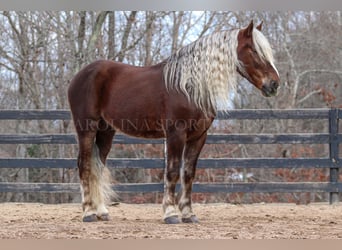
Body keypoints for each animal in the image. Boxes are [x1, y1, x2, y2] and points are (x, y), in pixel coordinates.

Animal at [67, 20, 280, 224]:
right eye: (254, 50)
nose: (274, 84)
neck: (189, 86)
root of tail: (80, 75)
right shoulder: (175, 134)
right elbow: (172, 172)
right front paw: (170, 213)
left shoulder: (198, 137)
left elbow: (188, 174)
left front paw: (188, 214)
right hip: (86, 129)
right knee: (84, 165)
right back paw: (88, 212)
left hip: (106, 131)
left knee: (97, 167)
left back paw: (102, 212)